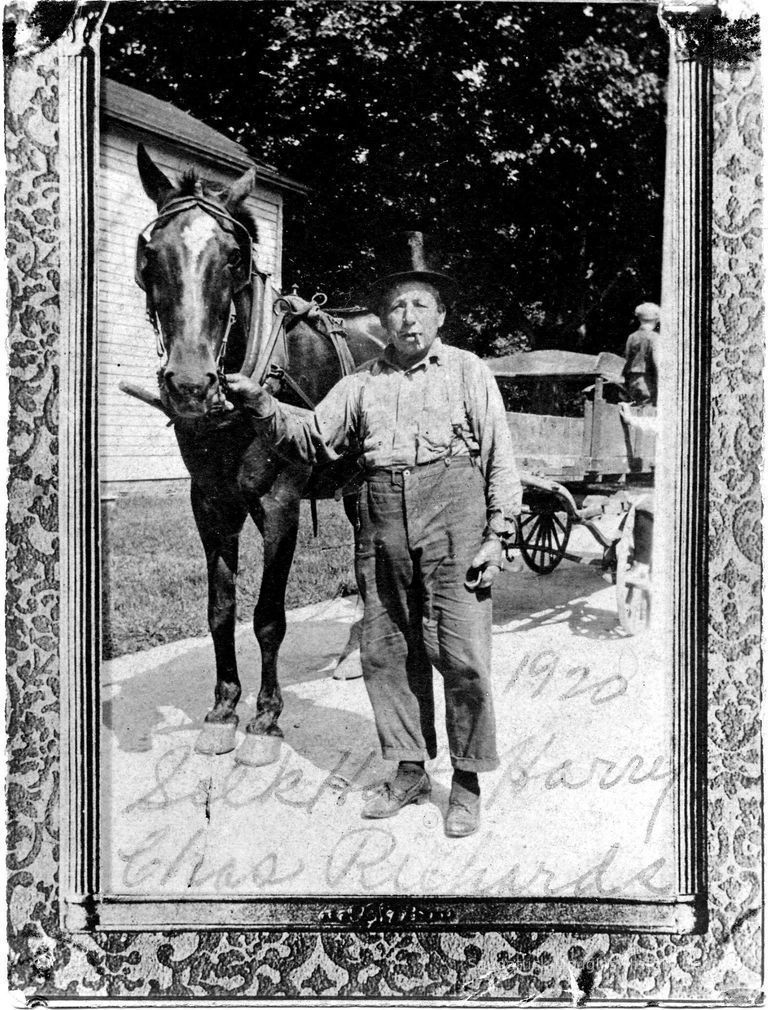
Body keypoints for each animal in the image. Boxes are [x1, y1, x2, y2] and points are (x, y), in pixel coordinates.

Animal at [130, 144, 384, 763]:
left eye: (233, 258)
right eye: (151, 254)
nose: (190, 384)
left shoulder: (279, 505)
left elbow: (268, 616)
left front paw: (266, 718)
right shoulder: (210, 504)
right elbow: (221, 610)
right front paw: (223, 709)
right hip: (353, 486)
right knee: (364, 562)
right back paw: (351, 654)